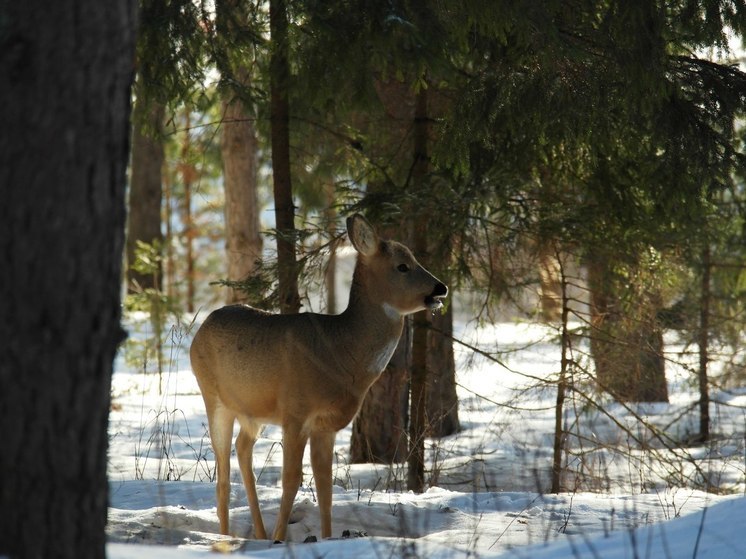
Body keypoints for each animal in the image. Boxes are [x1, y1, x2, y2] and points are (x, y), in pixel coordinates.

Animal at [190, 214, 448, 544]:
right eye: (403, 265)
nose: (441, 288)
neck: (340, 353)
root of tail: (201, 326)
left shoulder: (326, 425)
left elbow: (325, 486)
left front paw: (326, 537)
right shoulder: (295, 412)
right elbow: (291, 479)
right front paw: (280, 538)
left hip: (253, 412)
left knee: (243, 447)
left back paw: (258, 533)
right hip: (213, 398)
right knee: (222, 472)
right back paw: (228, 537)